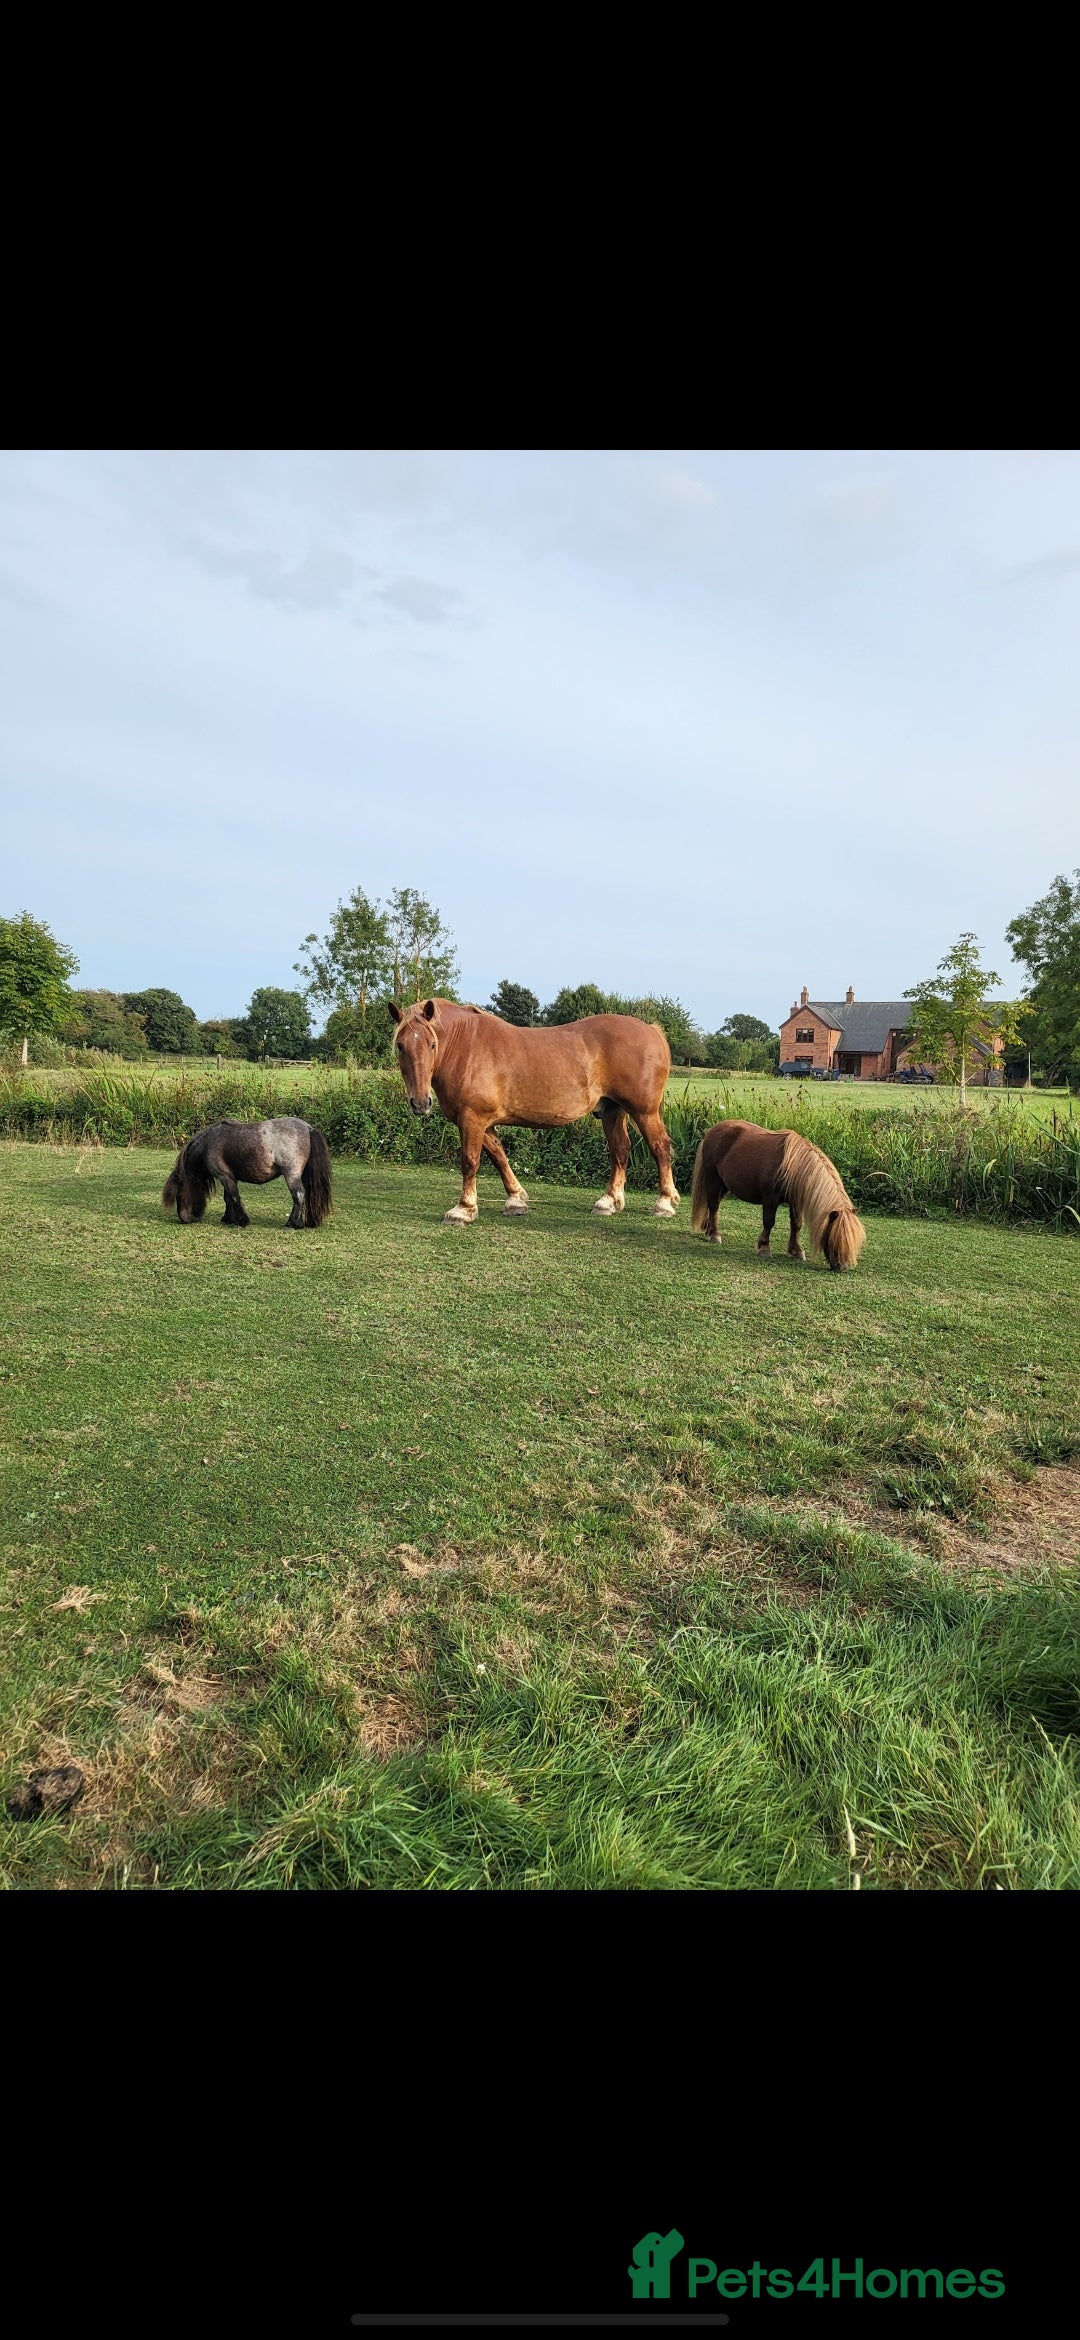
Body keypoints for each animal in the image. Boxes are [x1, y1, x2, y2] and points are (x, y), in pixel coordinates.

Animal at [162, 1117, 333, 1229]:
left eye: (179, 1194)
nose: (183, 1219)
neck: (208, 1144)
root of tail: (308, 1128)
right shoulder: (228, 1177)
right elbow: (228, 1198)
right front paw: (228, 1219)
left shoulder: (224, 1176)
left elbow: (234, 1197)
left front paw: (241, 1221)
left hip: (292, 1174)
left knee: (299, 1195)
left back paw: (292, 1224)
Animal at [388, 997, 680, 1223]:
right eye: (401, 1045)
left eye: (432, 1044)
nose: (420, 1102)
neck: (465, 1048)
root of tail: (652, 1030)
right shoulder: (482, 1121)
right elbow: (499, 1156)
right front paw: (515, 1200)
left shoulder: (472, 1118)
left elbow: (470, 1161)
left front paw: (464, 1209)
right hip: (611, 1111)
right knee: (620, 1150)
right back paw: (608, 1202)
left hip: (644, 1112)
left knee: (660, 1148)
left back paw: (664, 1203)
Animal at [690, 1120, 866, 1270]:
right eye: (835, 1236)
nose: (842, 1267)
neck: (792, 1166)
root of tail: (712, 1130)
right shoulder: (770, 1199)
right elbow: (769, 1222)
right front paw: (764, 1248)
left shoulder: (795, 1202)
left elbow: (796, 1224)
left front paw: (796, 1251)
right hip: (713, 1179)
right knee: (713, 1205)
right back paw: (715, 1235)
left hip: (725, 1185)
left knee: (713, 1205)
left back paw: (708, 1230)